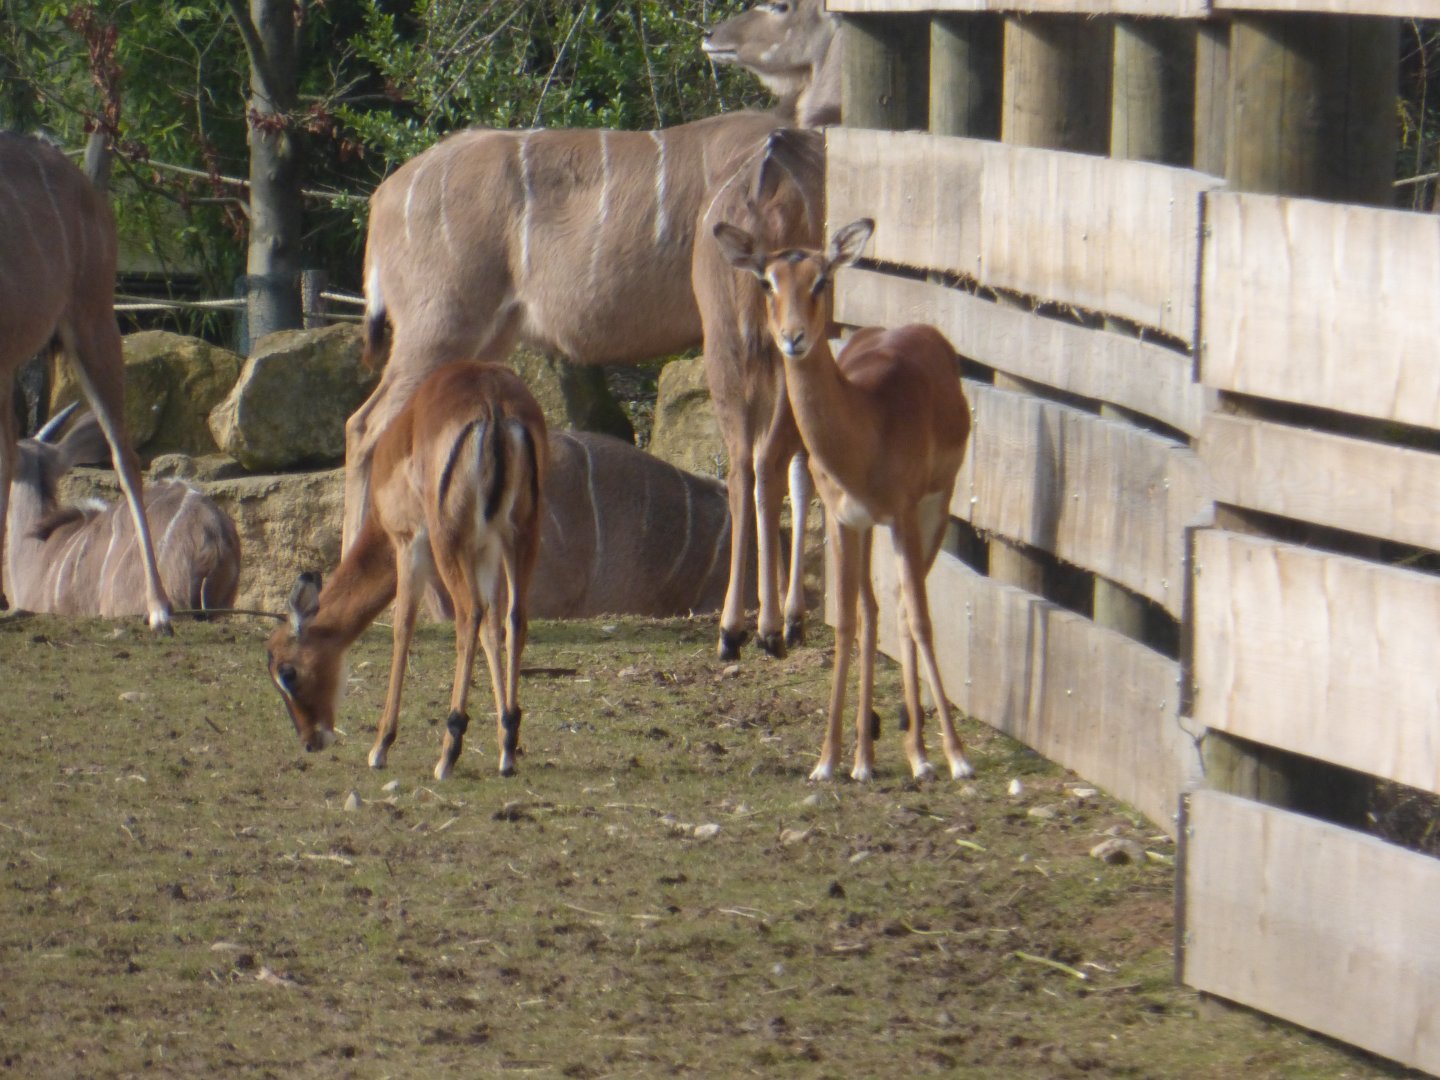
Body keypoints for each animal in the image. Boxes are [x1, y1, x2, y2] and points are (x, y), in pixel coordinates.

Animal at [268, 361, 546, 780]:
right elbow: (492, 628)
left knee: (468, 614)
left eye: (288, 672)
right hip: (520, 535)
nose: (310, 740)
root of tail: (492, 402)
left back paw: (447, 753)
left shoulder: (407, 544)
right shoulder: (485, 549)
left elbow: (403, 629)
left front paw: (380, 746)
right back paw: (507, 747)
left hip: (448, 543)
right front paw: (504, 744)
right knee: (514, 618)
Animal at [715, 216, 975, 782]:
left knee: (902, 605)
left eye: (821, 280)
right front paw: (829, 761)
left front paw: (956, 757)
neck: (869, 422)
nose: (793, 338)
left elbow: (919, 617)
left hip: (933, 509)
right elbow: (849, 624)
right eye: (767, 281)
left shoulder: (903, 513)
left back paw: (919, 750)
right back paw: (869, 756)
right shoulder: (842, 519)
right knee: (874, 610)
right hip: (868, 528)